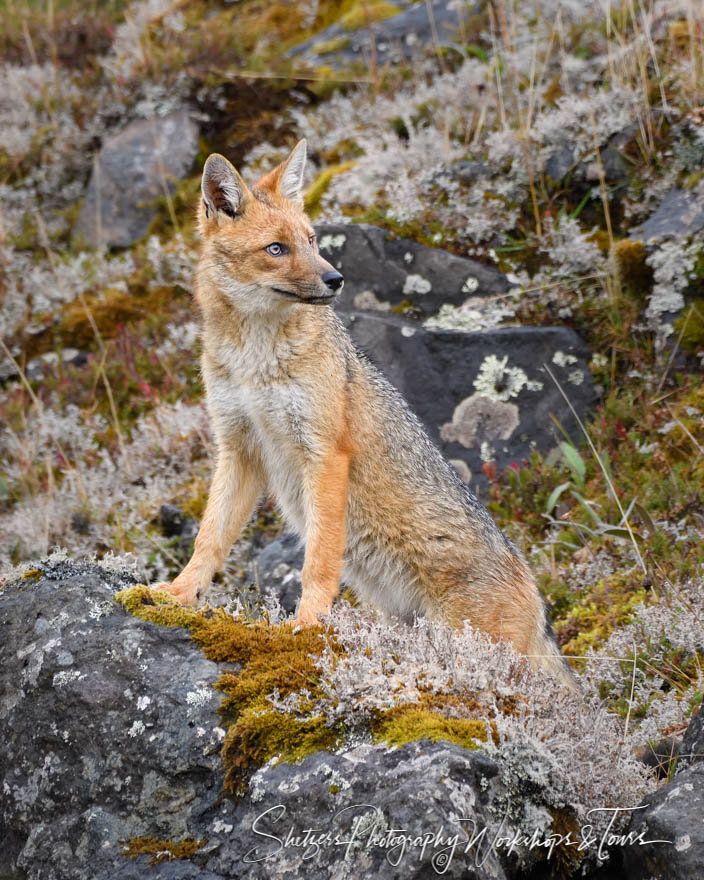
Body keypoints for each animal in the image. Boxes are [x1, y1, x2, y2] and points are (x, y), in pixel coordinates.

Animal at [157, 138, 580, 692]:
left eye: (312, 239)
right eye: (277, 249)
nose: (336, 278)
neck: (256, 364)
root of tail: (537, 597)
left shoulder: (325, 454)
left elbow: (317, 562)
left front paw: (305, 626)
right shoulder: (239, 449)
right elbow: (209, 540)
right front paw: (175, 595)